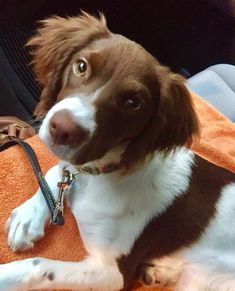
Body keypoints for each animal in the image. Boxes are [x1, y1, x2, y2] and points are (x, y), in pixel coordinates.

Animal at [1, 11, 235, 291]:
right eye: (81, 66)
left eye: (134, 103)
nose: (62, 129)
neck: (100, 175)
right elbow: (55, 170)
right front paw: (28, 218)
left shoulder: (112, 273)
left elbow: (38, 265)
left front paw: (6, 274)